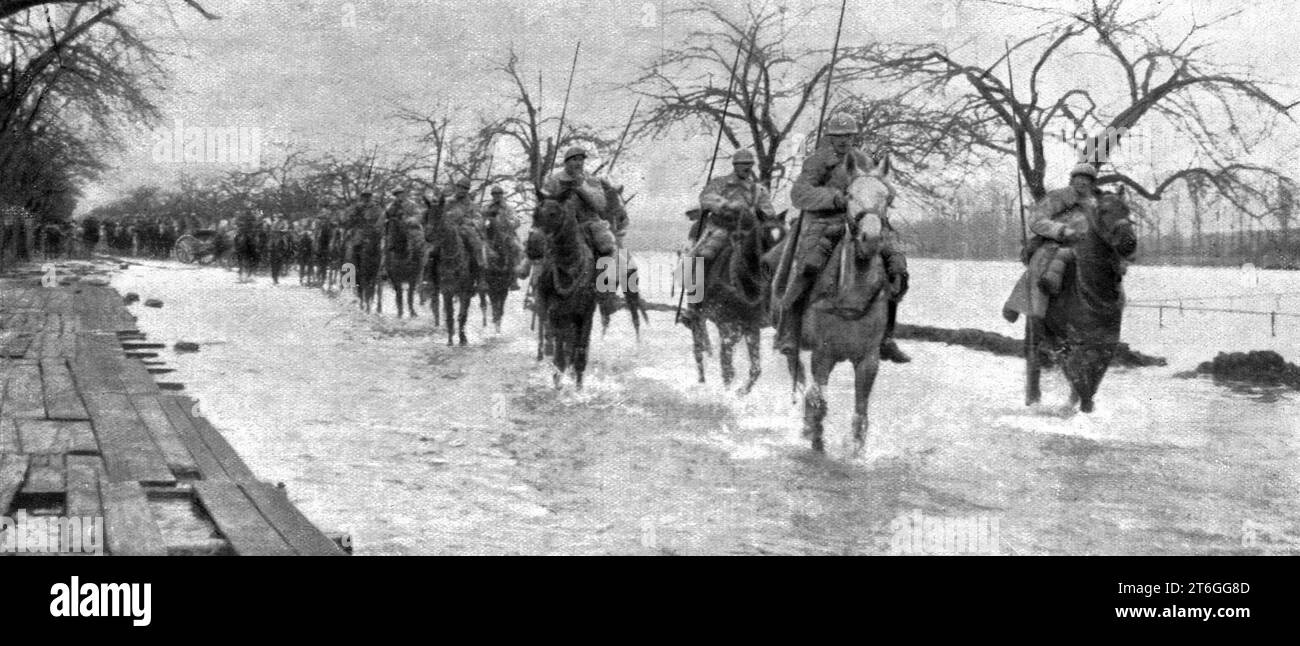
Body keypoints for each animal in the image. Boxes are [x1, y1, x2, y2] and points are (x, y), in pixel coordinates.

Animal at [1024, 188, 1138, 410]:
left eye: (1127, 209)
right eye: (1103, 211)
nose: (1129, 242)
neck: (1095, 292)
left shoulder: (1106, 343)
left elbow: (1094, 376)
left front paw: (1084, 405)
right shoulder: (1076, 341)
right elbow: (1079, 376)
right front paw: (1082, 405)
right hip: (1036, 325)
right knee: (1035, 358)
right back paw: (1033, 399)